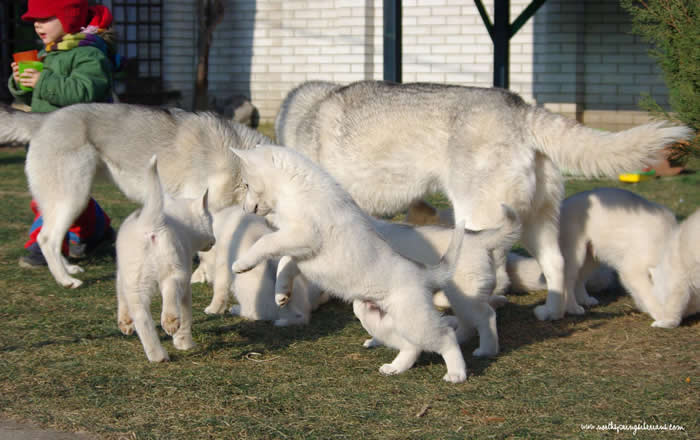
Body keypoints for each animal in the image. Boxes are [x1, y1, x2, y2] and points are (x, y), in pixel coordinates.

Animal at [190, 205, 330, 324]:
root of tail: (298, 314)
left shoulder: (223, 264)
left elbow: (220, 290)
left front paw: (213, 309)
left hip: (241, 286)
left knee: (253, 313)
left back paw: (236, 309)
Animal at [276, 80, 692, 320]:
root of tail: (521, 107)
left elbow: (286, 260)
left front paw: (289, 292)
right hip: (536, 224)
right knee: (556, 266)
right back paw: (553, 312)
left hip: (478, 220)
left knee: (499, 280)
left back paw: (452, 303)